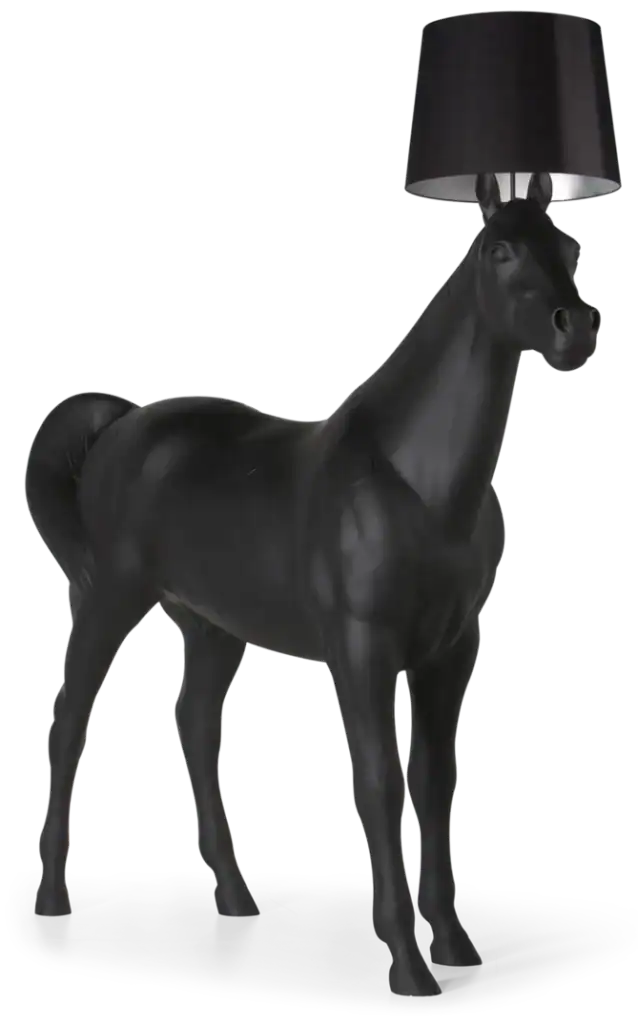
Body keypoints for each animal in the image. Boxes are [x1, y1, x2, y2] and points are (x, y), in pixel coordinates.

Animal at [26, 171, 599, 998]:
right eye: (500, 250)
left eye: (569, 244)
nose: (574, 330)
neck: (417, 483)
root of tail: (121, 424)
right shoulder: (362, 652)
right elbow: (381, 782)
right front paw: (407, 961)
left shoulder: (451, 652)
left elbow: (435, 780)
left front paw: (452, 940)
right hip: (109, 597)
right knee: (70, 720)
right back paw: (52, 892)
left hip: (212, 625)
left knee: (195, 724)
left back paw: (236, 895)